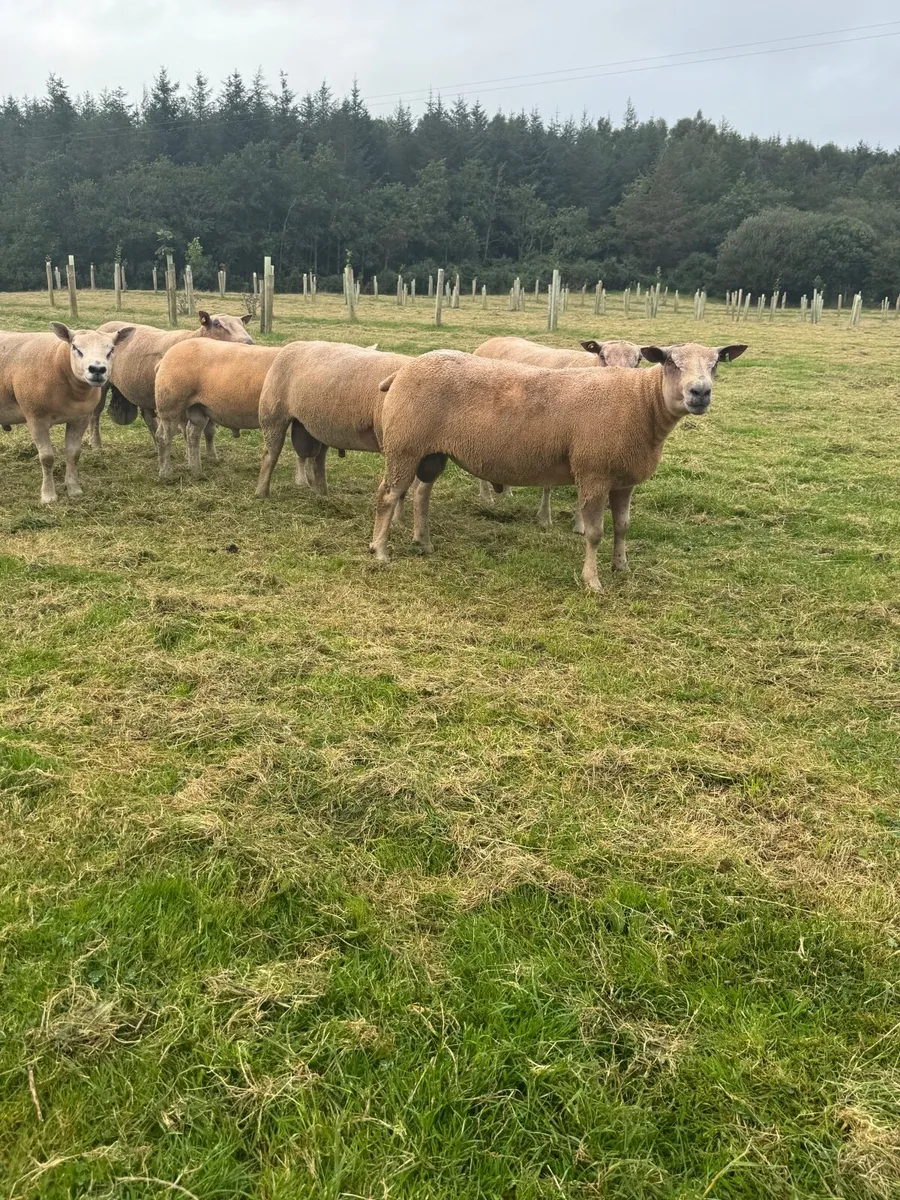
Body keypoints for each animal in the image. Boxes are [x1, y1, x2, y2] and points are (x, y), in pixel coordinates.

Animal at [0, 322, 135, 504]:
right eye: (76, 348)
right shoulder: (36, 418)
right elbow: (47, 458)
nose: (97, 369)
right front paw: (48, 495)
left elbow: (73, 454)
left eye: (111, 350)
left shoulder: (80, 419)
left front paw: (74, 489)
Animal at [89, 310, 253, 452]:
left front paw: (211, 456)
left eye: (242, 323)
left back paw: (157, 447)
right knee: (96, 413)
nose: (249, 342)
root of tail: (103, 327)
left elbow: (210, 431)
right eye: (217, 324)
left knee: (149, 419)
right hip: (103, 385)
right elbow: (188, 432)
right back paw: (95, 443)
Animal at [154, 339, 280, 479]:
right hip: (170, 406)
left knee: (193, 435)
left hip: (196, 408)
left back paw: (196, 471)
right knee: (163, 437)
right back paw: (166, 474)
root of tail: (164, 358)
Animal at [255, 341, 410, 499]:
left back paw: (321, 493)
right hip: (273, 415)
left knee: (318, 460)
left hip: (320, 427)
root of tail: (292, 345)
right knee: (270, 455)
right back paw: (261, 492)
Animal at [472, 335, 644, 527]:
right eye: (601, 356)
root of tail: (492, 340)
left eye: (638, 360)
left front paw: (580, 524)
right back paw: (486, 497)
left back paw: (507, 492)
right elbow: (548, 485)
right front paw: (545, 518)